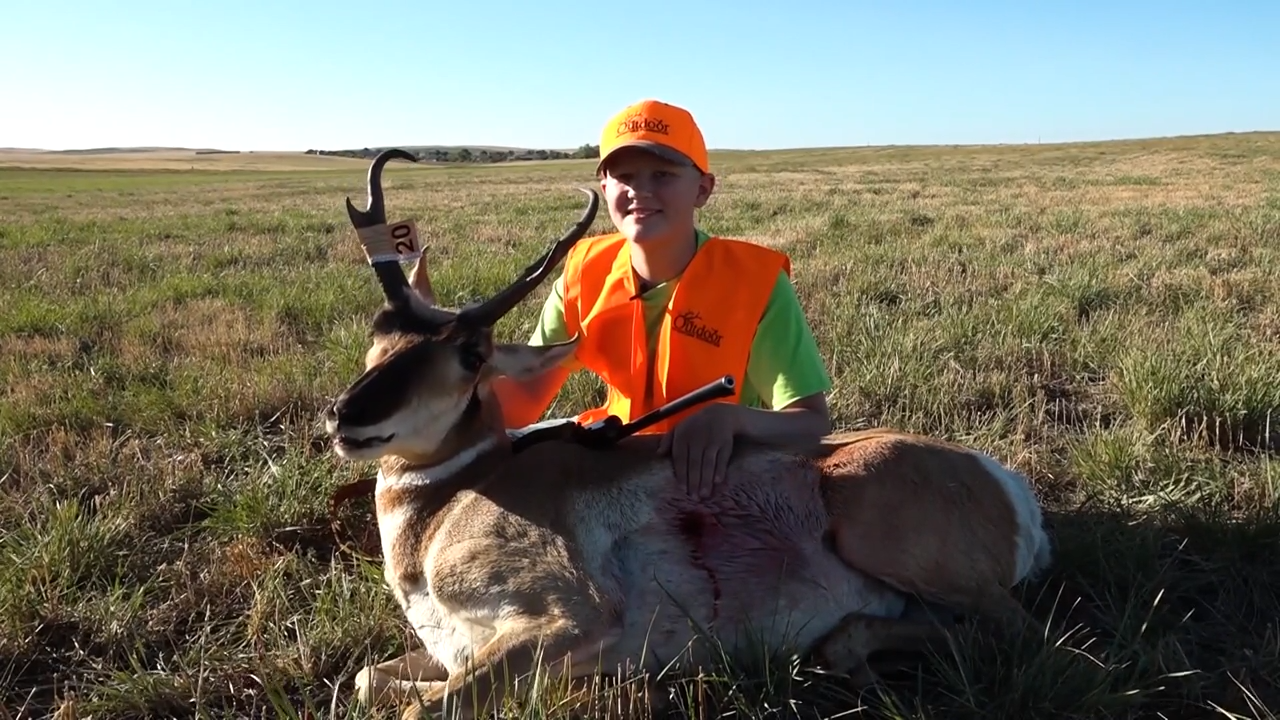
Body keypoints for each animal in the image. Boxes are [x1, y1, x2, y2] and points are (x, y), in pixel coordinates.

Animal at [322, 150, 1054, 718]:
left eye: (473, 355)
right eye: (380, 328)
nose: (345, 417)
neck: (455, 497)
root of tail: (1005, 482)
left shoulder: (570, 615)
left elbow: (423, 707)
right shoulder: (454, 650)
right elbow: (365, 679)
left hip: (875, 524)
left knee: (1018, 632)